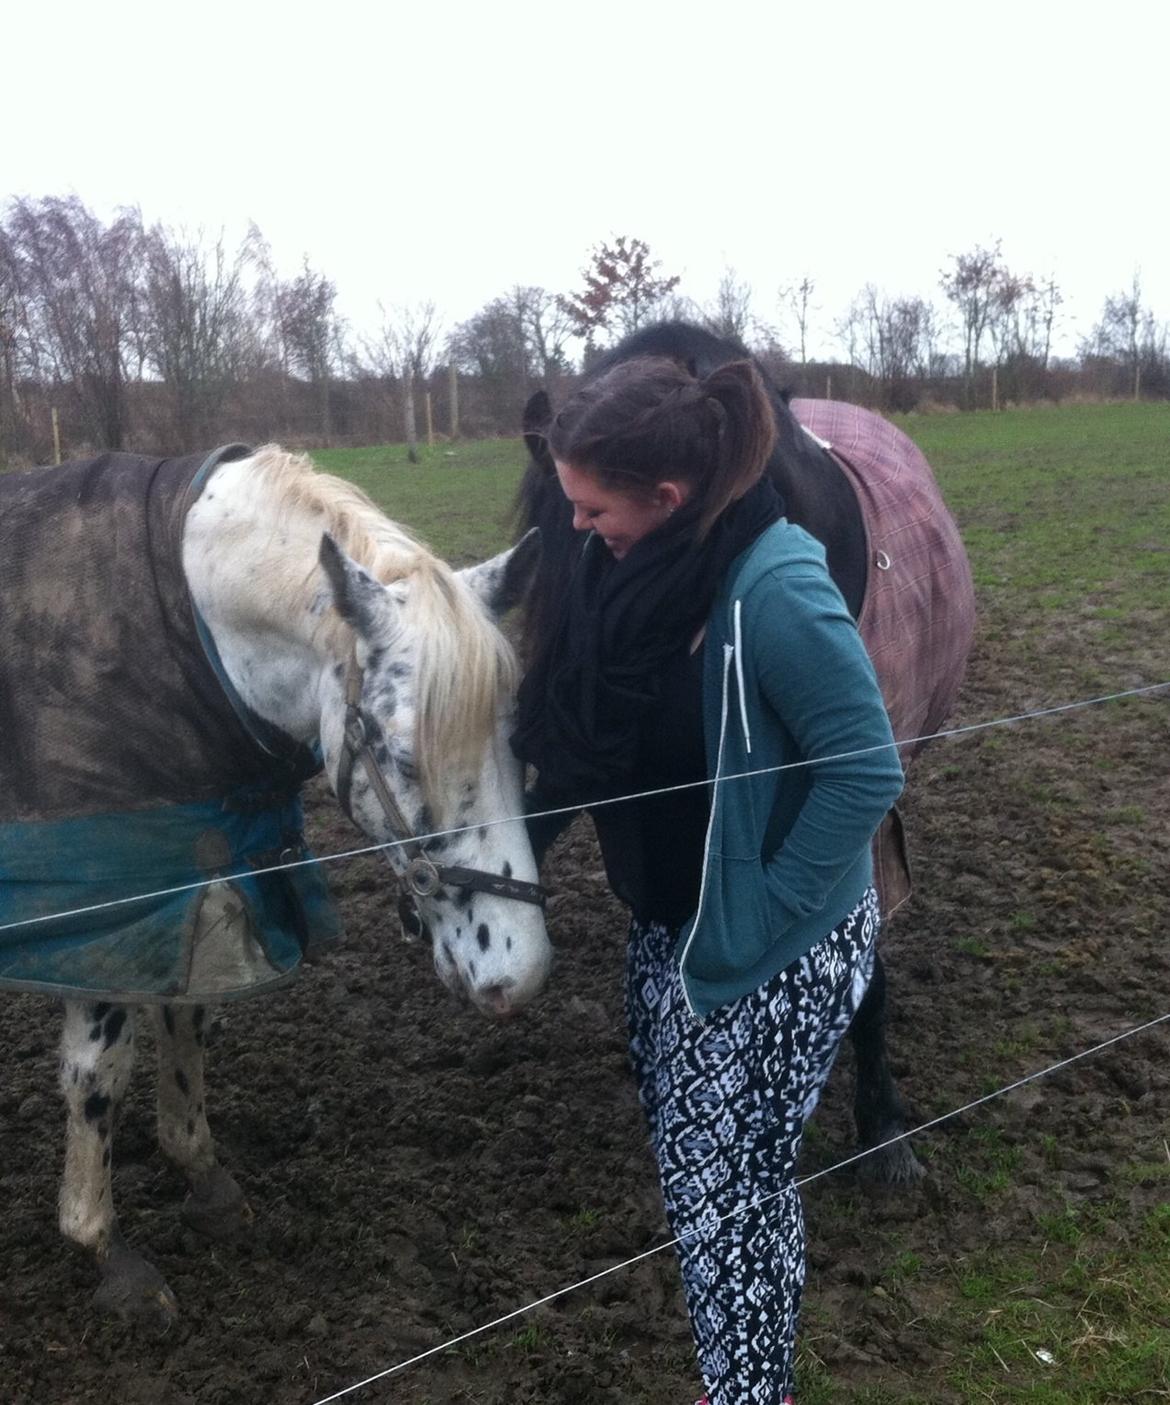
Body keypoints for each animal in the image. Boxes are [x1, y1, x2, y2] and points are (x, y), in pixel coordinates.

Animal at [0, 443, 550, 1320]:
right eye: (403, 757)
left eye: (511, 734)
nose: (519, 973)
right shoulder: (104, 918)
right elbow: (97, 1076)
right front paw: (104, 1248)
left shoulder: (197, 878)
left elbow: (187, 1021)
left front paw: (204, 1180)